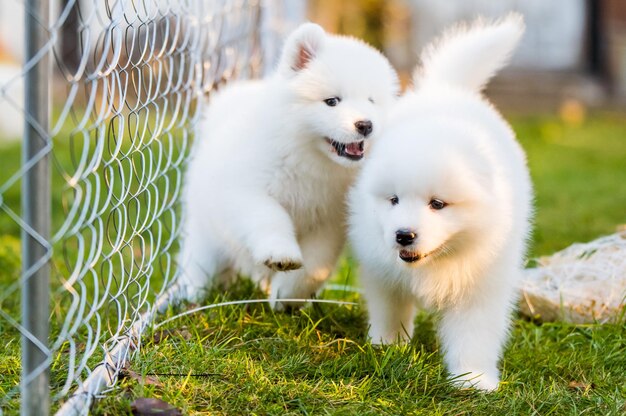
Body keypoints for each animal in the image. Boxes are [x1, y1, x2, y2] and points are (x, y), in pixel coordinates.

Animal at [178, 22, 398, 308]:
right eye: (332, 101)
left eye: (371, 101)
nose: (366, 125)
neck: (308, 157)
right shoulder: (247, 192)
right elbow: (270, 217)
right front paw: (280, 254)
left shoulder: (328, 221)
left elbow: (315, 265)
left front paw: (286, 297)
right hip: (206, 230)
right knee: (200, 261)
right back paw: (195, 295)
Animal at [346, 13, 532, 390]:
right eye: (393, 199)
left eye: (438, 204)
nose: (403, 235)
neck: (435, 262)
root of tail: (447, 89)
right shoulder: (382, 271)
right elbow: (390, 309)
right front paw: (387, 346)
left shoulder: (482, 283)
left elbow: (474, 333)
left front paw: (473, 379)